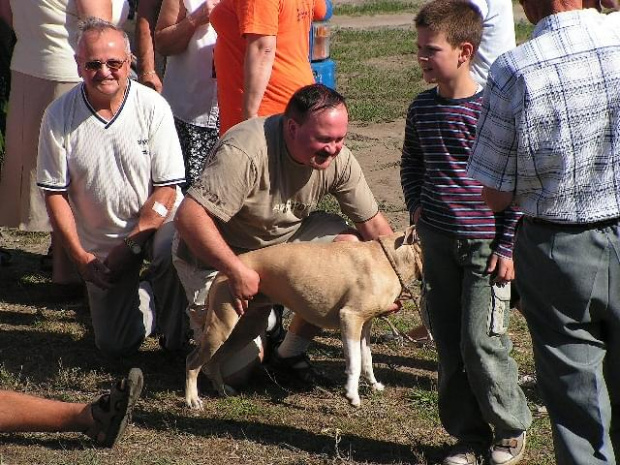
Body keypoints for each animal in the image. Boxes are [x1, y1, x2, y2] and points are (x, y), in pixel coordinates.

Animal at [186, 227, 424, 408]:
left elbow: (367, 360)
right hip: (222, 326)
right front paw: (352, 395)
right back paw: (192, 400)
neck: (388, 259)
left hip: (245, 328)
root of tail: (223, 271)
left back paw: (223, 390)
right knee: (193, 361)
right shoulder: (350, 319)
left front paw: (374, 386)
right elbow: (354, 362)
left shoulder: (364, 325)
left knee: (213, 362)